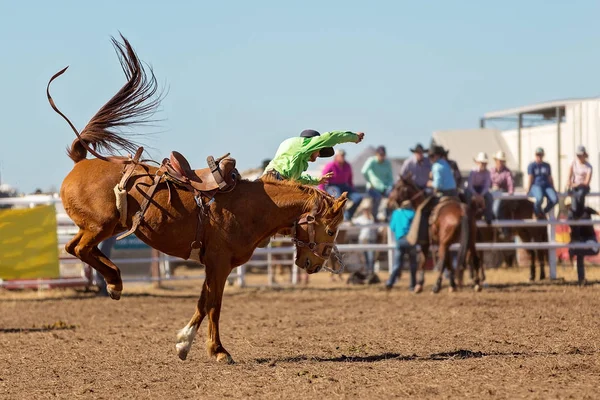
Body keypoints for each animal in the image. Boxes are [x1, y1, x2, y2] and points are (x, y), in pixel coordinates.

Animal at [49, 36, 350, 364]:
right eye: (331, 230)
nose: (315, 265)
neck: (254, 207)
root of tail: (80, 161)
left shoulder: (214, 264)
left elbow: (203, 302)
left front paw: (184, 342)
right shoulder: (219, 263)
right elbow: (214, 305)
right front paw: (218, 351)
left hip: (107, 226)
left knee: (74, 247)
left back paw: (113, 281)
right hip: (101, 225)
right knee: (79, 248)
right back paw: (115, 282)